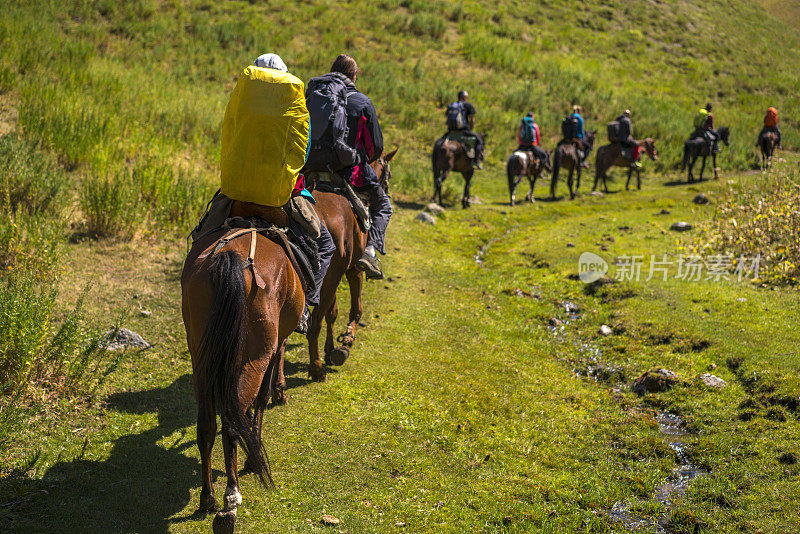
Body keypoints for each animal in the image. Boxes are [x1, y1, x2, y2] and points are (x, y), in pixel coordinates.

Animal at [180, 204, 304, 532]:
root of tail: (231, 258)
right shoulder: (273, 348)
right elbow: (260, 400)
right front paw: (254, 454)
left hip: (201, 357)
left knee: (207, 424)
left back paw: (208, 498)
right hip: (255, 356)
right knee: (230, 426)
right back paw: (229, 503)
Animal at [304, 151, 396, 384]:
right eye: (388, 174)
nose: (386, 191)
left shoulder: (334, 274)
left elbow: (332, 312)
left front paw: (330, 350)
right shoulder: (353, 271)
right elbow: (356, 309)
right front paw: (345, 342)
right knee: (313, 324)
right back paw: (316, 369)